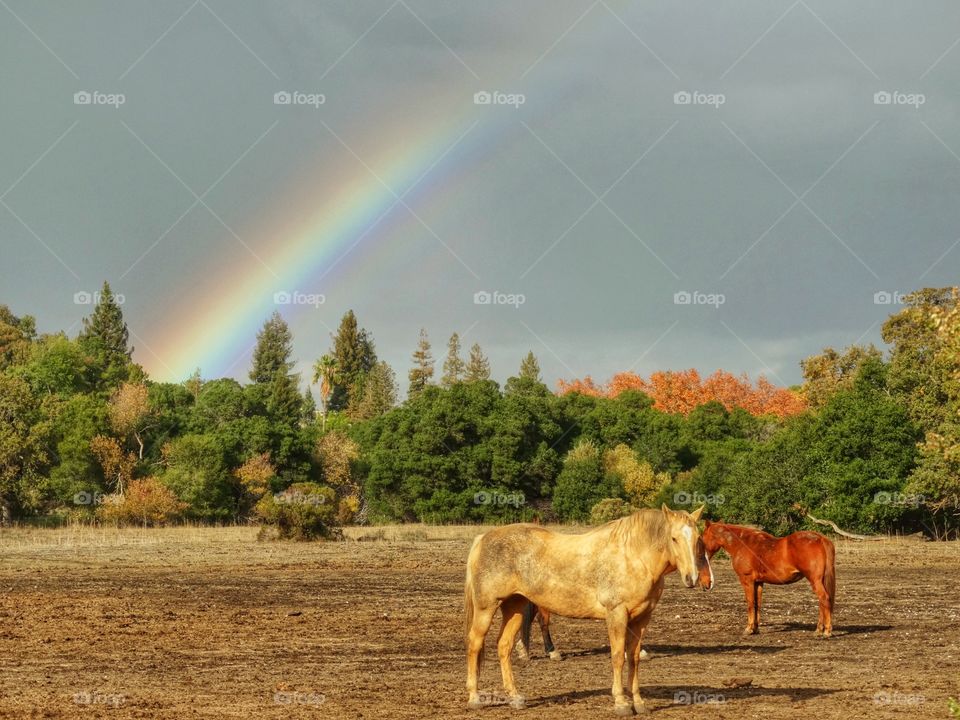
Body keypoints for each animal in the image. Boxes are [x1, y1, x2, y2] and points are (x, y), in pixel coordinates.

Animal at [464, 506, 712, 716]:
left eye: (697, 539)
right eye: (674, 538)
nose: (692, 578)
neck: (633, 556)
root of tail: (482, 538)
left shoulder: (641, 619)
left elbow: (633, 659)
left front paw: (639, 703)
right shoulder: (616, 614)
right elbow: (617, 657)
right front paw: (621, 703)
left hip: (515, 607)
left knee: (504, 647)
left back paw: (515, 697)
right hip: (487, 608)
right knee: (475, 643)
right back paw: (474, 697)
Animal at [700, 520, 836, 640]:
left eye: (702, 538)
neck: (742, 544)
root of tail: (821, 539)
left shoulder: (747, 581)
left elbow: (750, 603)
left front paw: (748, 629)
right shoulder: (758, 582)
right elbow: (757, 604)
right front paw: (755, 629)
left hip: (815, 581)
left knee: (824, 599)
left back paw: (826, 631)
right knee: (822, 602)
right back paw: (819, 630)